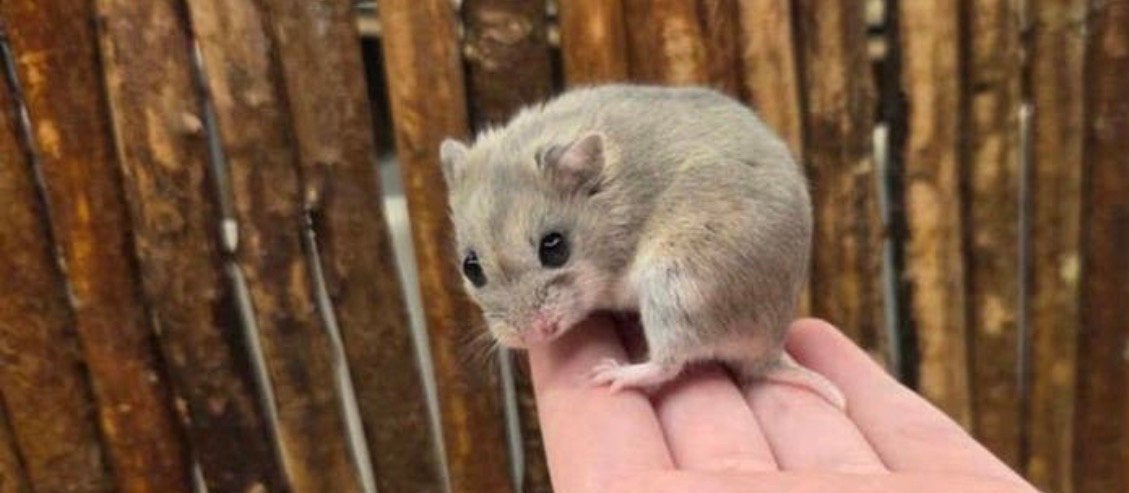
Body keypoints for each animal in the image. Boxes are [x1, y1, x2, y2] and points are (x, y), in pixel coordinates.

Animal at [439, 84, 844, 408]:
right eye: (471, 267)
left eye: (554, 247)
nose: (533, 336)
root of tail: (770, 352)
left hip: (676, 288)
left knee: (670, 362)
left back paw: (613, 374)